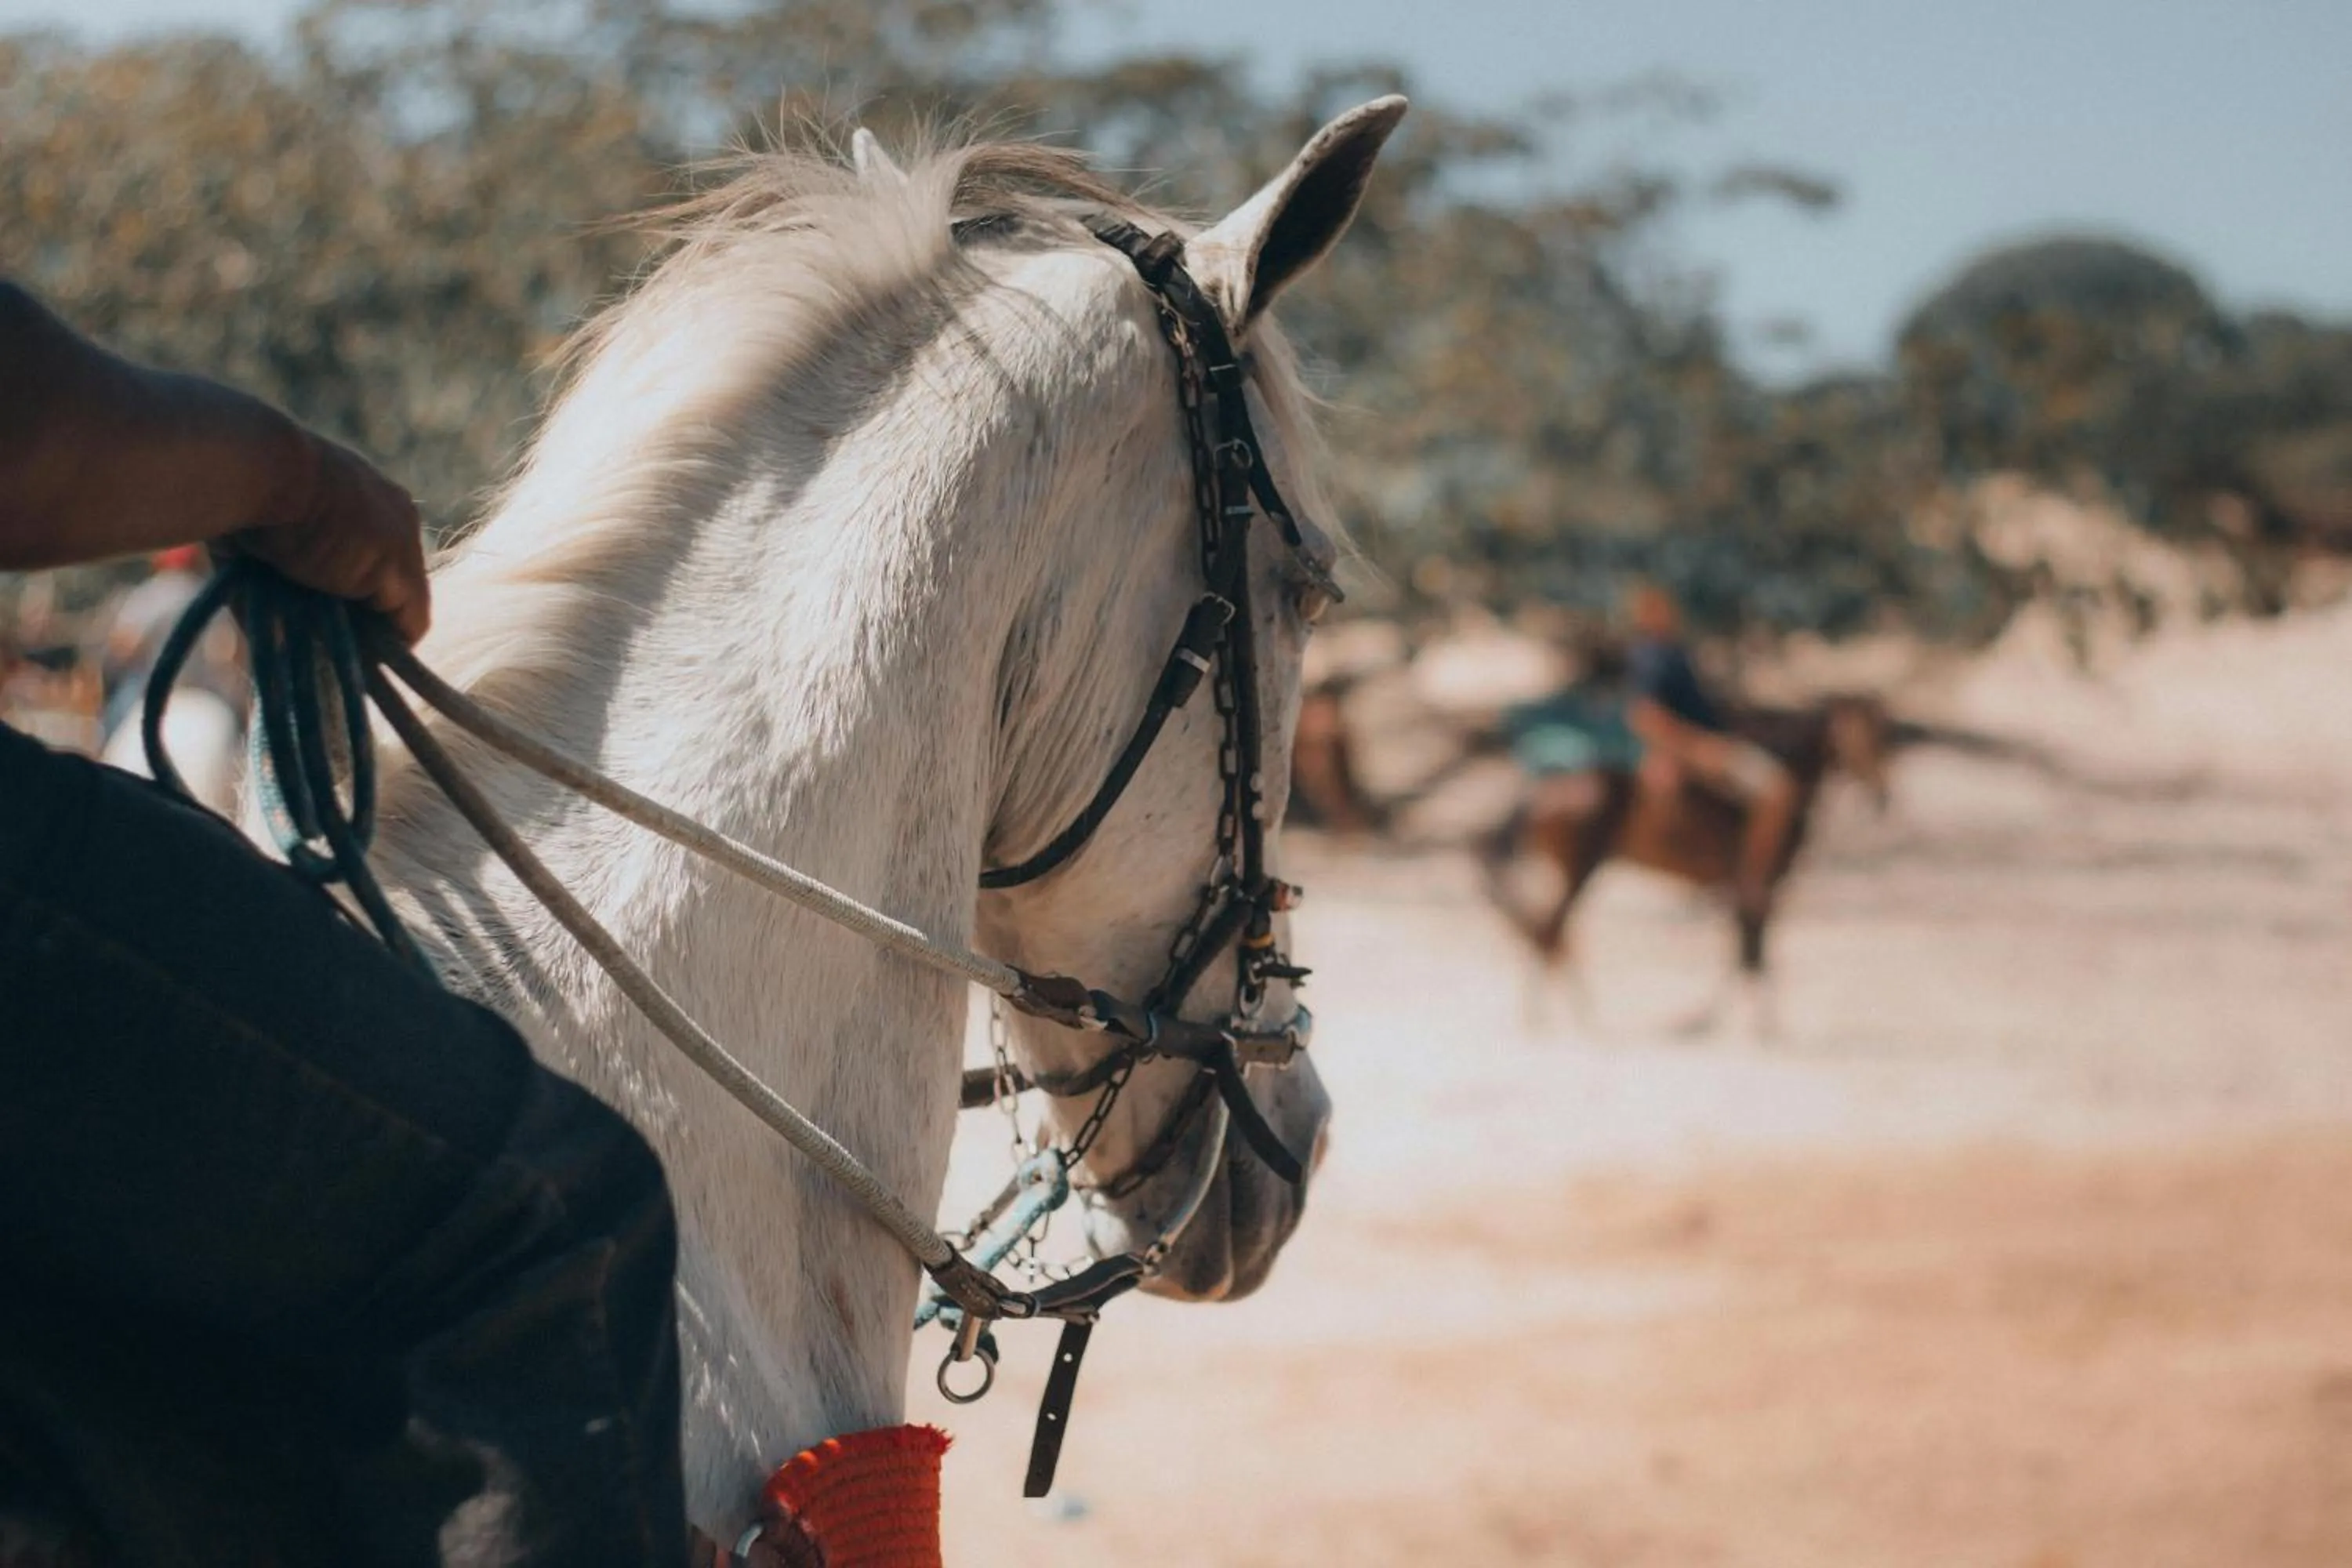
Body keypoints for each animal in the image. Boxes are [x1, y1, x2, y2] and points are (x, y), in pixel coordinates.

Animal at [1482, 692, 1891, 1035]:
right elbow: (1751, 951)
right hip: (1581, 868)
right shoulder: (1758, 883)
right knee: (1550, 929)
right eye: (1857, 741)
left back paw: (1567, 1012)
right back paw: (1558, 1015)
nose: (1882, 797)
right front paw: (1749, 1023)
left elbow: (1745, 951)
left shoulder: (1745, 888)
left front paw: (1722, 1020)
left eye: (1882, 739)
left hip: (1568, 870)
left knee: (1548, 929)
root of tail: (1542, 791)